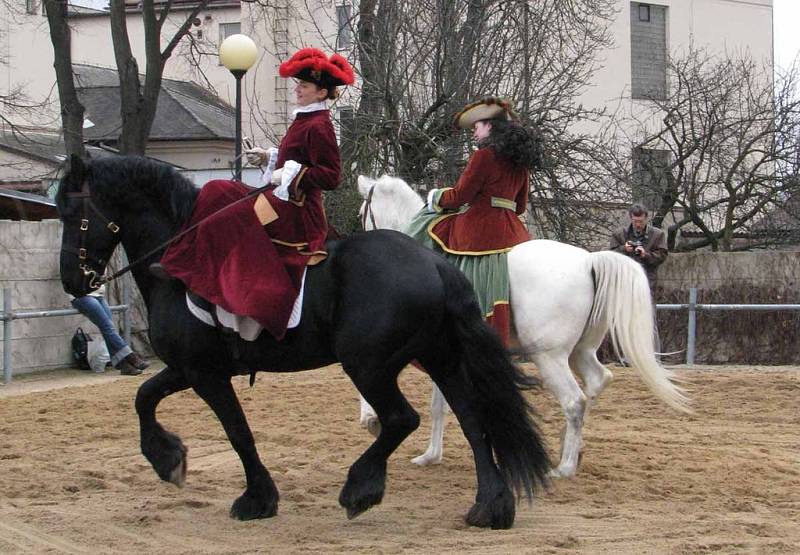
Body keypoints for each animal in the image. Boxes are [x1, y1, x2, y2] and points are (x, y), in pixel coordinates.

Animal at [56, 155, 552, 528]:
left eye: (73, 214)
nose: (72, 283)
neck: (179, 257)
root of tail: (436, 264)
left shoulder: (205, 373)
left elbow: (237, 432)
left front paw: (256, 498)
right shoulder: (187, 368)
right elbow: (144, 398)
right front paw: (168, 460)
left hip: (369, 365)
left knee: (401, 418)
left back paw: (360, 489)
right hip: (438, 357)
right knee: (471, 418)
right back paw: (490, 506)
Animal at [358, 174, 692, 478]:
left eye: (362, 212)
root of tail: (589, 262)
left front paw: (373, 420)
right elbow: (439, 404)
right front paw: (430, 455)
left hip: (549, 357)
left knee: (574, 401)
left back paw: (564, 468)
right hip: (580, 352)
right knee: (597, 382)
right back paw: (572, 449)